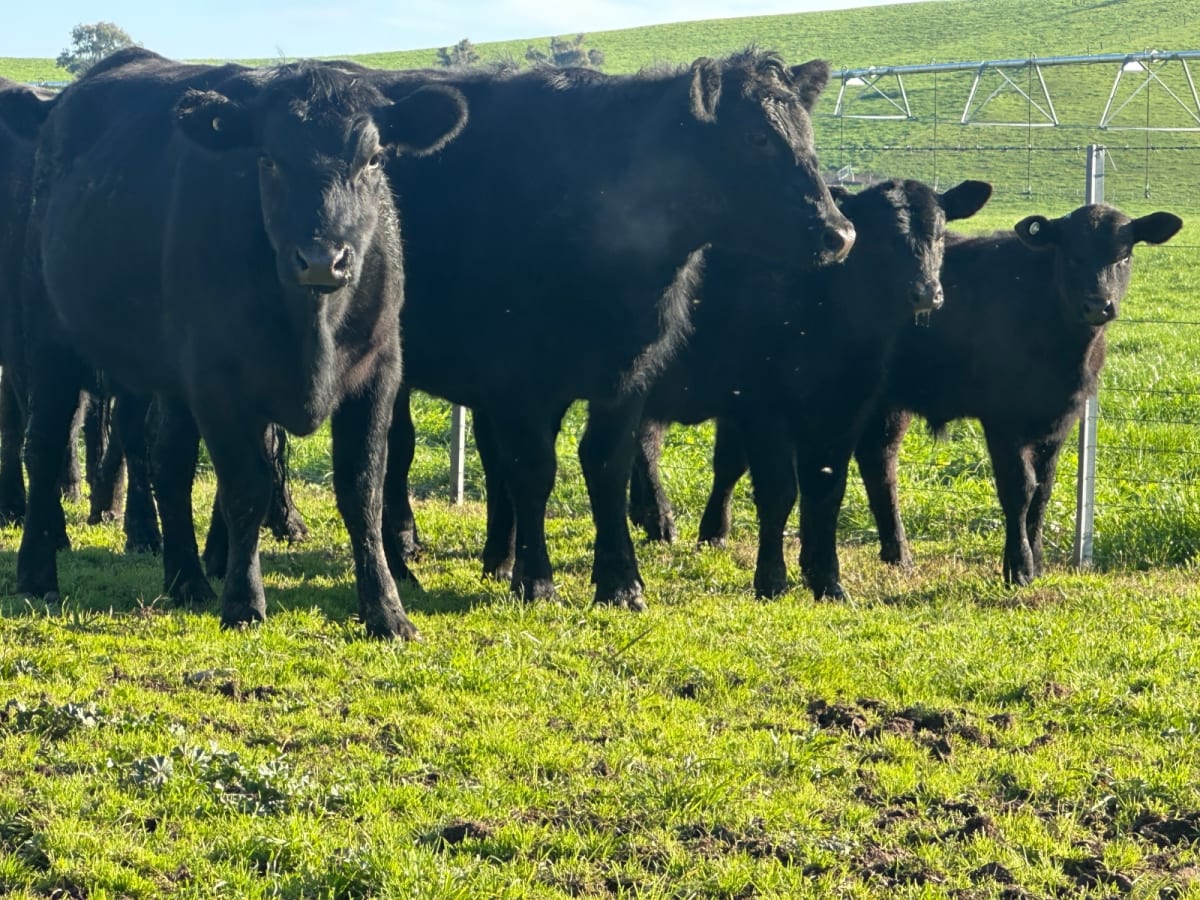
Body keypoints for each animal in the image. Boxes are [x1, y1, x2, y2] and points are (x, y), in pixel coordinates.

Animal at [17, 48, 468, 639]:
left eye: (372, 160)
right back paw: (35, 572)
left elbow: (363, 490)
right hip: (48, 338)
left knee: (168, 462)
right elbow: (246, 489)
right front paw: (244, 602)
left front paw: (388, 612)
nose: (321, 259)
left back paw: (186, 579)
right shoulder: (218, 380)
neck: (312, 328)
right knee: (45, 446)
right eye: (268, 160)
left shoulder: (379, 374)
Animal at [351, 51, 856, 611]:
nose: (840, 233)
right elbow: (532, 469)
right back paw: (402, 561)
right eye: (754, 138)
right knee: (392, 453)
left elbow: (607, 465)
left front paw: (620, 581)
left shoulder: (629, 372)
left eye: (806, 134)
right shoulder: (517, 379)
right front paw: (536, 579)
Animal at [627, 179, 994, 598]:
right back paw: (659, 519)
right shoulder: (762, 408)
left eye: (939, 234)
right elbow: (778, 490)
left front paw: (827, 579)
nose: (926, 292)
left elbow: (827, 490)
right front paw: (771, 577)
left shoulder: (847, 408)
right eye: (881, 237)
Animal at [849, 203, 1183, 585]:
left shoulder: (1061, 420)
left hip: (888, 403)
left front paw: (1036, 562)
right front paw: (1018, 567)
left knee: (880, 461)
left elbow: (1043, 490)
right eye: (1071, 255)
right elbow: (1019, 489)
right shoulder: (1002, 420)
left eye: (1124, 255)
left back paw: (899, 555)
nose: (1098, 305)